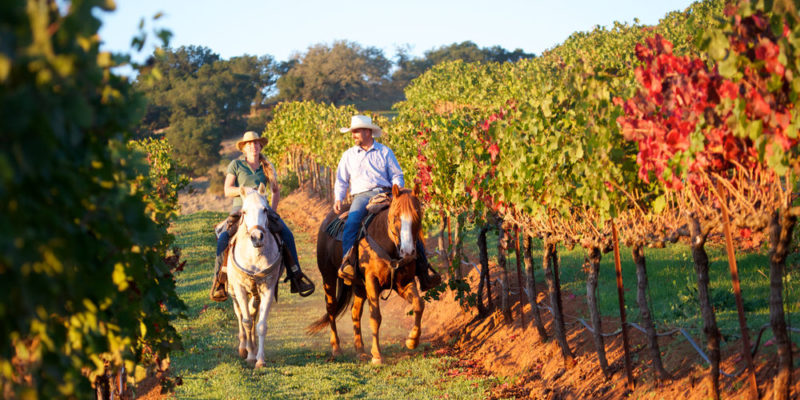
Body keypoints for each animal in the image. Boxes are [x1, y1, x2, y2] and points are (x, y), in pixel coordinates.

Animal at [227, 183, 282, 368]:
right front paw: (250, 354)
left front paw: (260, 359)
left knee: (252, 312)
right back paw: (243, 347)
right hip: (233, 291)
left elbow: (260, 324)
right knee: (240, 314)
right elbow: (246, 321)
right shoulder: (240, 288)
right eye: (244, 212)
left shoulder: (268, 288)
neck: (254, 255)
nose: (257, 237)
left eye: (265, 210)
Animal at [310, 185, 428, 366]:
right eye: (395, 216)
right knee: (331, 307)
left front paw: (412, 340)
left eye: (417, 214)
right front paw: (377, 355)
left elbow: (419, 304)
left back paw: (360, 350)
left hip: (359, 286)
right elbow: (375, 316)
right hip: (328, 275)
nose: (407, 251)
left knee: (355, 311)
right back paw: (336, 348)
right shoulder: (372, 281)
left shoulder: (404, 283)